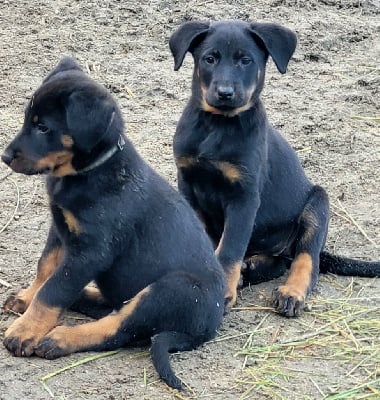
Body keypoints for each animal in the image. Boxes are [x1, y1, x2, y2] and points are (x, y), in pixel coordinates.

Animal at [2, 57, 226, 390]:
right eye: (28, 120)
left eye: (43, 127)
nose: (5, 156)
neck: (88, 172)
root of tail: (207, 328)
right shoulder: (60, 229)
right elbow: (46, 268)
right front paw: (26, 299)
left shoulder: (91, 251)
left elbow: (53, 289)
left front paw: (25, 330)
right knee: (114, 308)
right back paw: (84, 297)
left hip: (171, 289)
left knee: (119, 329)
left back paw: (61, 338)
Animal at [169, 21, 380, 316]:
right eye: (209, 59)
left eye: (246, 60)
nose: (225, 93)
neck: (217, 126)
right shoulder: (187, 183)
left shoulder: (244, 198)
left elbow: (230, 249)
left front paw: (223, 292)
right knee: (280, 261)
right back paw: (253, 268)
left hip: (317, 205)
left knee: (305, 259)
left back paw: (291, 292)